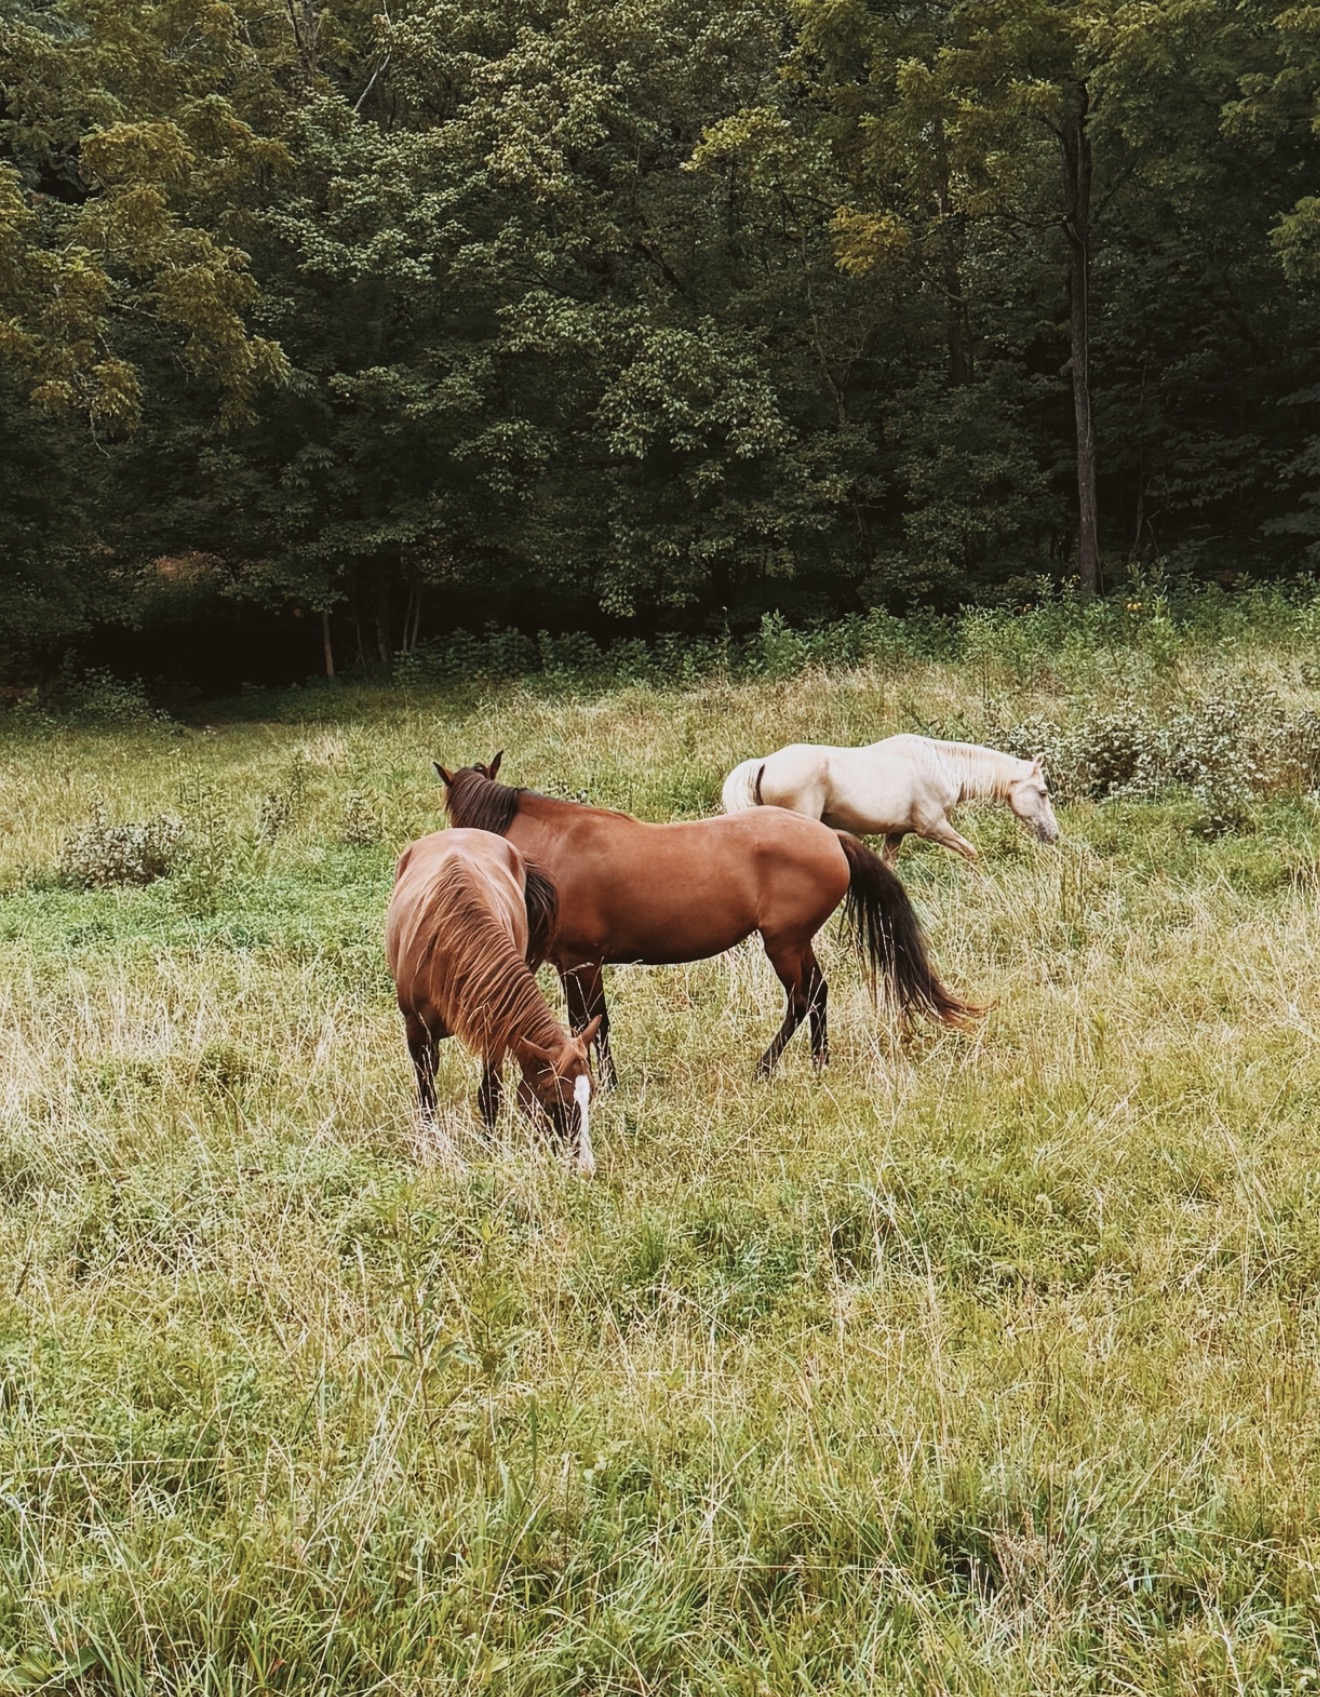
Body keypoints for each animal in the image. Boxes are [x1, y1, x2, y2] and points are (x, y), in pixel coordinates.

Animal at [386, 827, 602, 1174]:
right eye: (555, 1102)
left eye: (590, 1095)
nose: (585, 1166)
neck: (450, 946)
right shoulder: (416, 1031)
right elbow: (427, 1092)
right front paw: (429, 1147)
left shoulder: (495, 1032)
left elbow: (490, 1094)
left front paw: (490, 1147)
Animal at [435, 753, 981, 1087]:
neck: (556, 851)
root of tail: (830, 838)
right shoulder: (577, 967)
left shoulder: (581, 964)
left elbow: (593, 1023)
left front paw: (606, 1084)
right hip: (795, 942)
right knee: (819, 993)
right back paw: (817, 1063)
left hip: (782, 944)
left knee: (802, 997)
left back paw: (767, 1067)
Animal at [721, 734, 1059, 865]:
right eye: (1043, 792)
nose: (1053, 835)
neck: (940, 766)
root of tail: (766, 762)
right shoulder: (934, 827)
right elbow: (971, 852)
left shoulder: (895, 834)